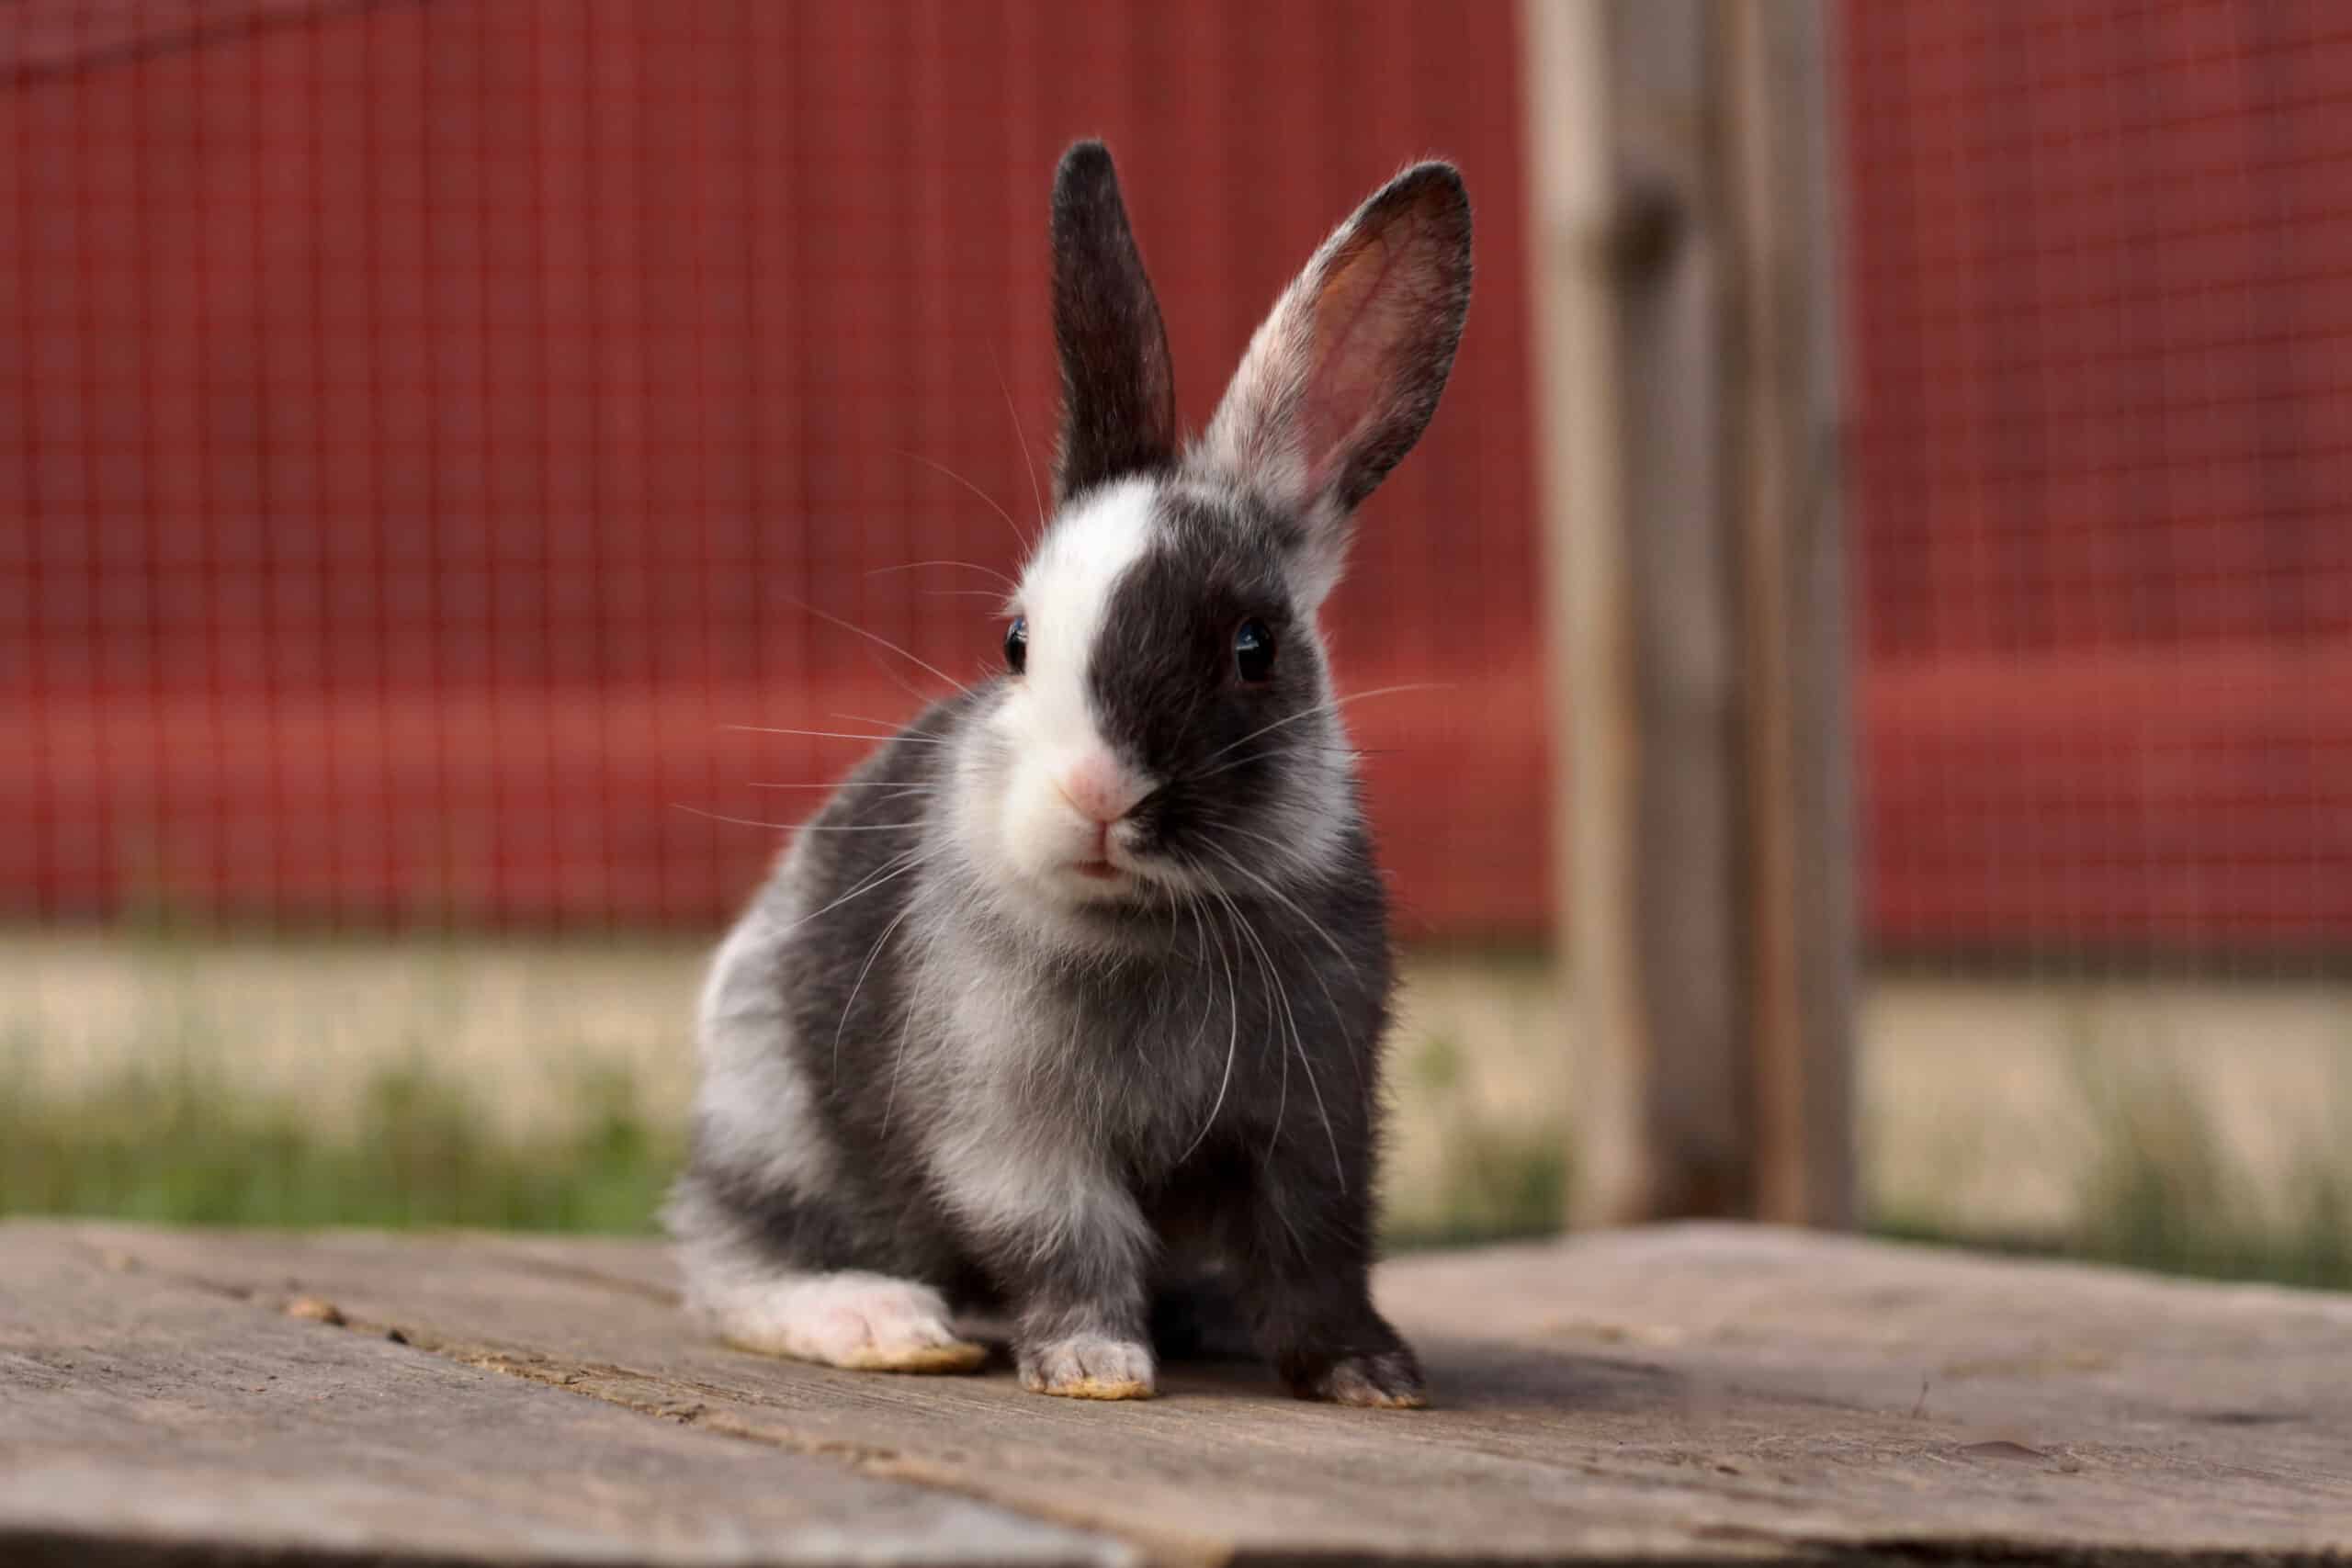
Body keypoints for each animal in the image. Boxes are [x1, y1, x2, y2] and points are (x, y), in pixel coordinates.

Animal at [662, 138, 1467, 1410]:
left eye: (1254, 649)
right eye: (1015, 643)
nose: (1095, 797)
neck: (1151, 923)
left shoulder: (1315, 1121)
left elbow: (1317, 1252)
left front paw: (1369, 1375)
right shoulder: (1012, 1131)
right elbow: (1065, 1240)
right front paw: (1095, 1367)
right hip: (772, 1126)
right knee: (724, 1260)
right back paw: (881, 1321)